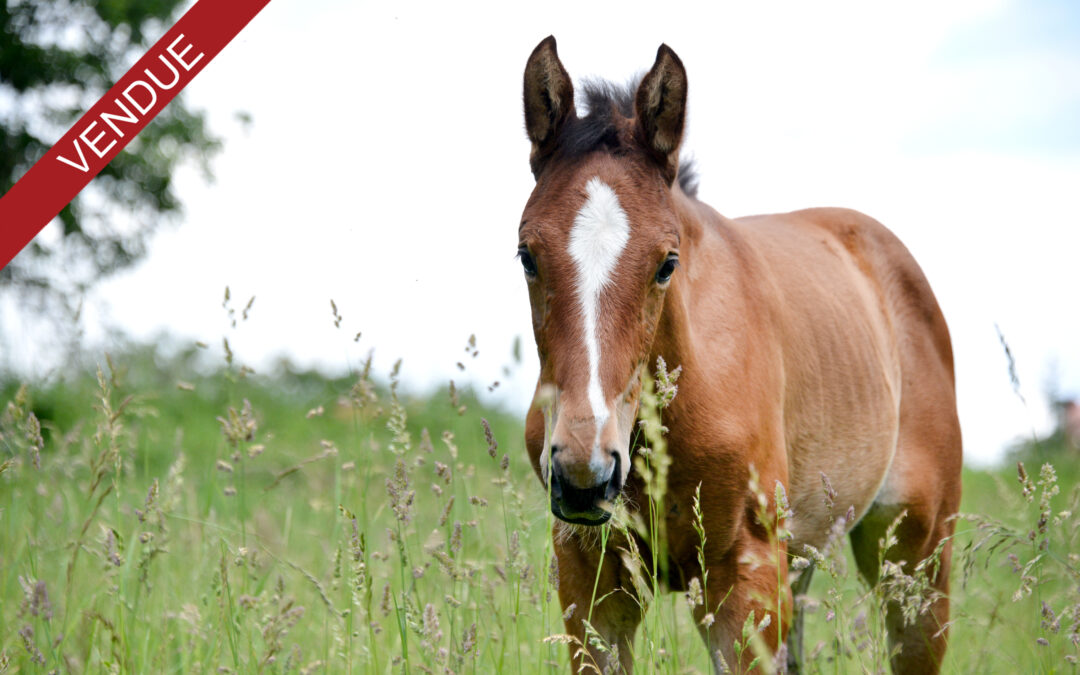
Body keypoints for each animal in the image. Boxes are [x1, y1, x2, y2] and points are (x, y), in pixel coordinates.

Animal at [516, 38, 963, 673]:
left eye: (667, 263)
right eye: (527, 255)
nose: (586, 472)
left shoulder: (746, 582)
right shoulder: (592, 576)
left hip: (916, 559)